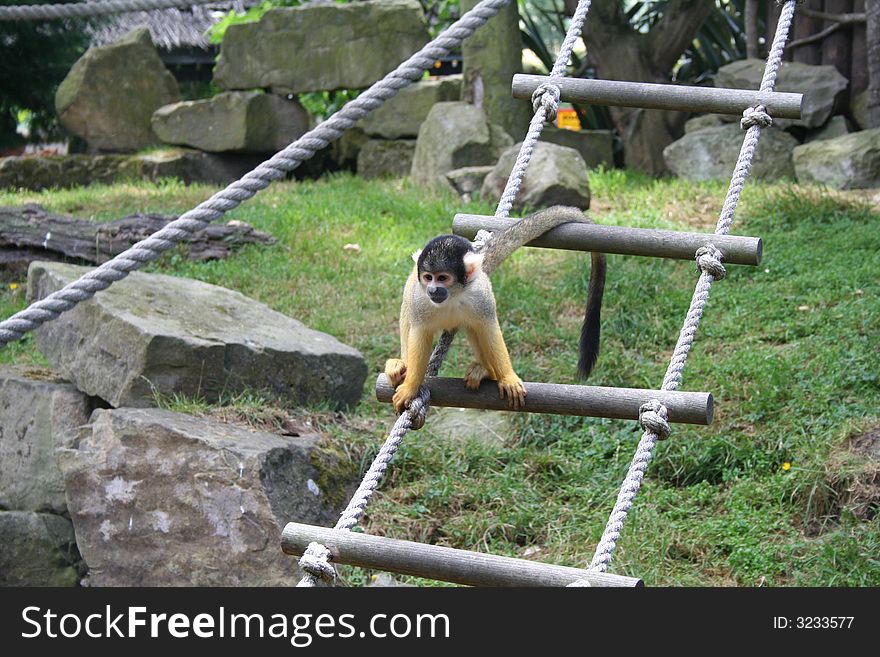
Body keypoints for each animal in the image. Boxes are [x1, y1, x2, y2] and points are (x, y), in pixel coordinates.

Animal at [384, 205, 604, 412]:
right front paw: (410, 387)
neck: (453, 296)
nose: (432, 289)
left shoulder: (480, 294)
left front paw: (507, 377)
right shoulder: (420, 298)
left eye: (443, 278)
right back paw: (401, 365)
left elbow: (488, 328)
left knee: (475, 326)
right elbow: (420, 332)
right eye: (428, 277)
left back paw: (486, 371)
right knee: (408, 311)